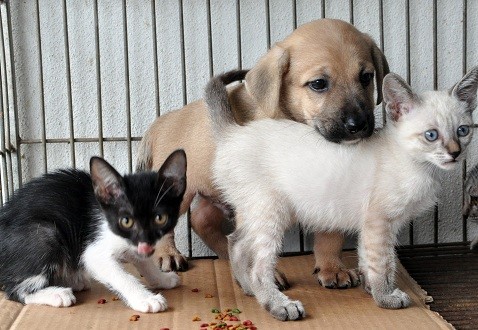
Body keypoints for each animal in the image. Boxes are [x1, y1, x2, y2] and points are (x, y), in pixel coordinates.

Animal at [0, 150, 187, 312]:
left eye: (160, 218)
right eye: (126, 221)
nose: (146, 243)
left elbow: (143, 261)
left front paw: (162, 278)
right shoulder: (94, 250)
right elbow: (123, 276)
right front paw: (145, 298)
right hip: (45, 233)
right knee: (15, 290)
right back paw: (56, 294)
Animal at [137, 18, 388, 288]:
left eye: (366, 77)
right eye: (319, 84)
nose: (357, 124)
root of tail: (162, 121)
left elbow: (330, 235)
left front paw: (333, 268)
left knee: (202, 220)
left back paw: (227, 256)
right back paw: (168, 254)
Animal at [207, 67, 478, 320]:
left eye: (463, 131)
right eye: (431, 135)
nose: (455, 153)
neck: (420, 167)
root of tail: (235, 133)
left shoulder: (374, 225)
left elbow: (368, 257)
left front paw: (371, 288)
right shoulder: (379, 221)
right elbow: (383, 262)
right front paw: (386, 297)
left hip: (257, 211)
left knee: (236, 241)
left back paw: (248, 289)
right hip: (271, 212)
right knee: (258, 265)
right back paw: (277, 304)